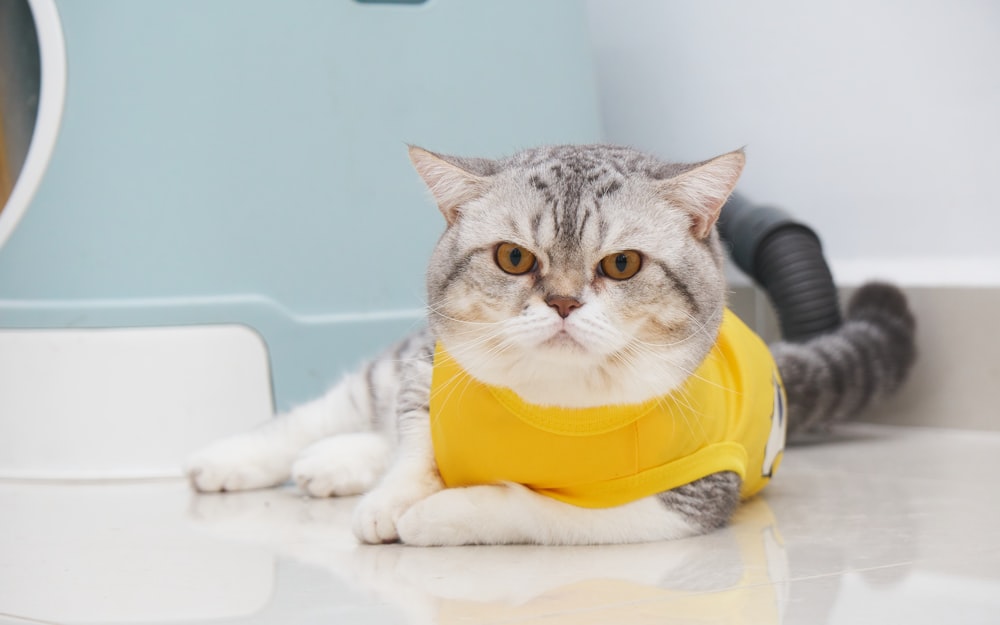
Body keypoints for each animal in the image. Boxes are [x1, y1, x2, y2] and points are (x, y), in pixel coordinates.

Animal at [184, 144, 916, 544]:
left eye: (622, 264)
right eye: (513, 257)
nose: (562, 301)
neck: (550, 398)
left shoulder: (682, 497)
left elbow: (534, 505)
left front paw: (438, 513)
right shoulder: (429, 370)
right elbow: (415, 444)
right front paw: (393, 502)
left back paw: (334, 464)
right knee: (338, 409)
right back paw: (237, 458)